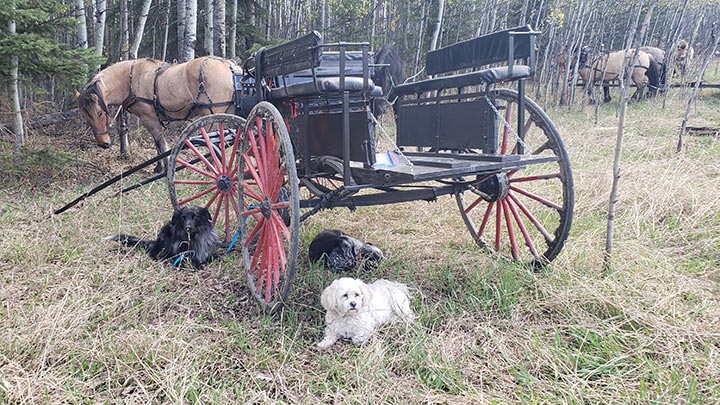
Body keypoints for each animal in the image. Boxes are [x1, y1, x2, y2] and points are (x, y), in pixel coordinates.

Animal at [78, 56, 239, 173]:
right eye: (85, 117)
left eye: (99, 113)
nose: (103, 143)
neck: (132, 79)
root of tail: (230, 66)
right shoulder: (152, 119)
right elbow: (157, 144)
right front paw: (159, 167)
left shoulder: (149, 119)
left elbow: (161, 144)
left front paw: (164, 168)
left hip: (212, 115)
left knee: (215, 142)